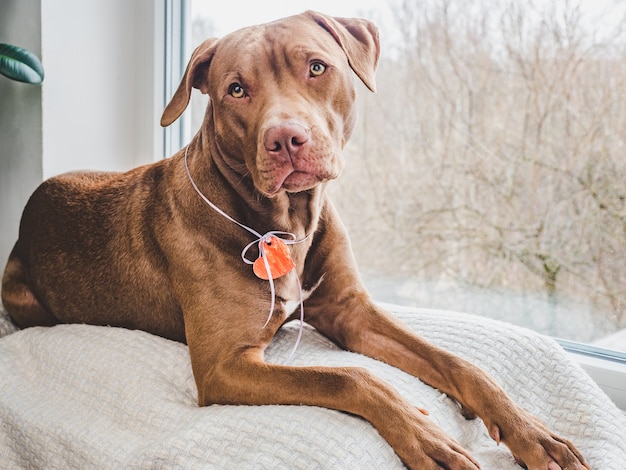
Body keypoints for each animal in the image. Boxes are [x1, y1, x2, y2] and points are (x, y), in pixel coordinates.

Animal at [1, 11, 584, 470]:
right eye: (236, 89)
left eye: (317, 68)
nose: (285, 139)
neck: (287, 223)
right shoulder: (226, 365)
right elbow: (350, 378)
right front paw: (425, 435)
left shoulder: (351, 311)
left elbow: (460, 364)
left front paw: (532, 433)